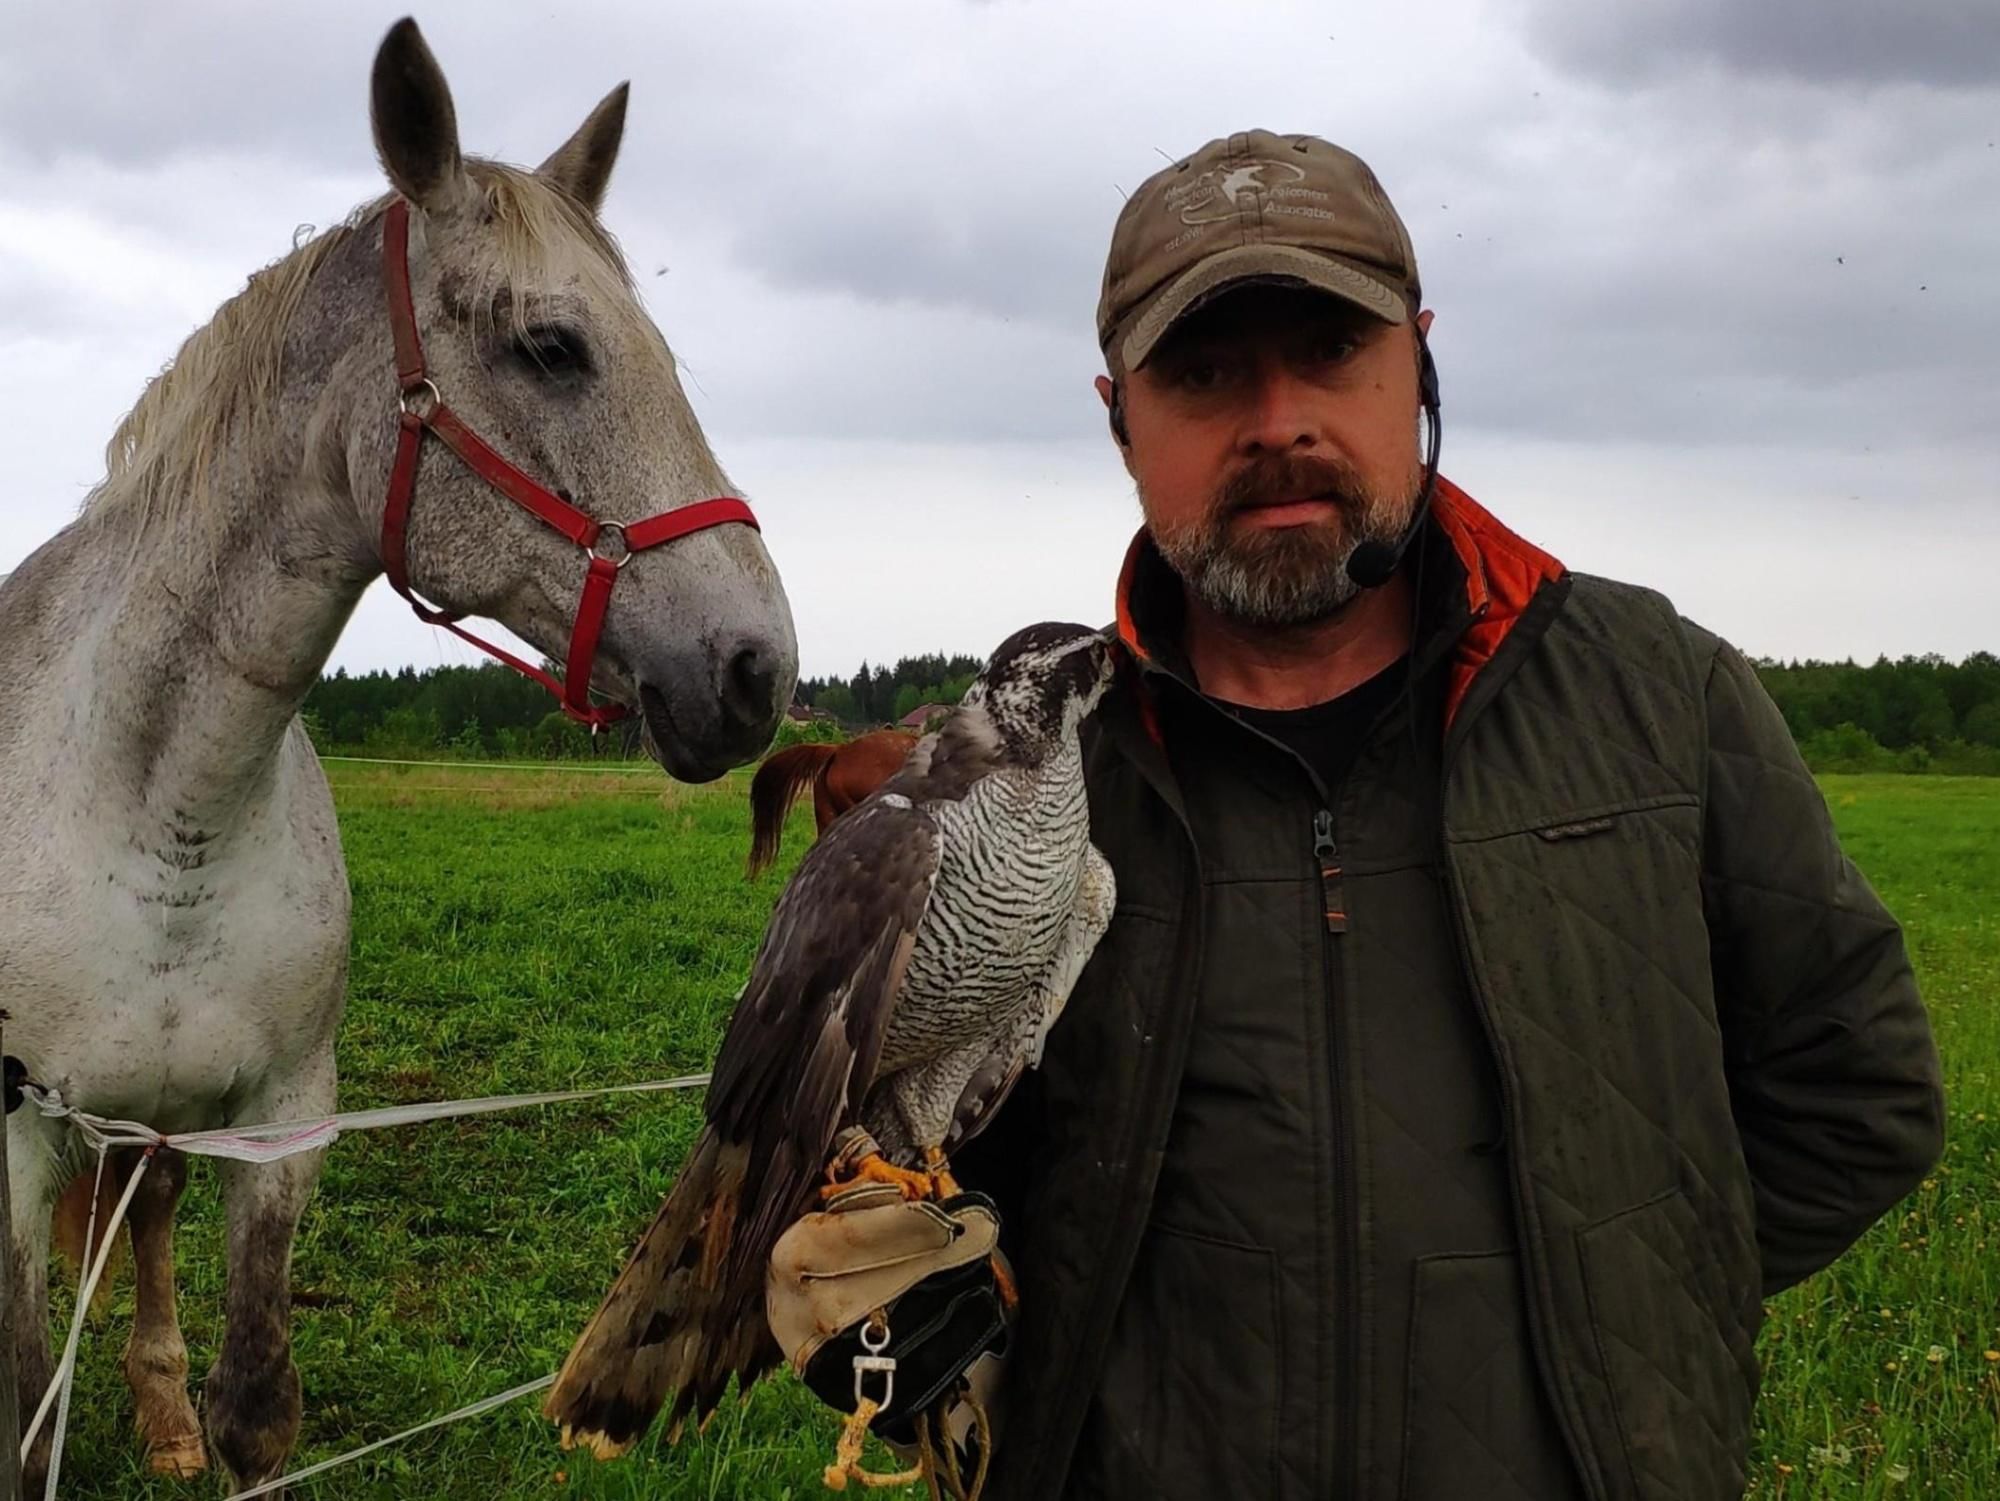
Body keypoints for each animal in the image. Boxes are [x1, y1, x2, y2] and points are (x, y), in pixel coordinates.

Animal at [0, 20, 796, 1496]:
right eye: (552, 347)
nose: (754, 672)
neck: (163, 799)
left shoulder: (279, 1123)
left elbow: (259, 1407)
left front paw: (197, 1418)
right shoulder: (14, 1139)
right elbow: (17, 1425)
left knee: (146, 1214)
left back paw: (156, 1407)